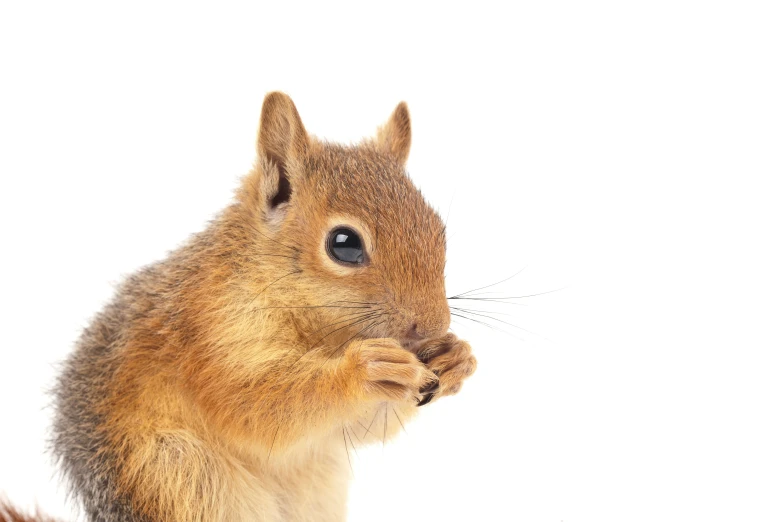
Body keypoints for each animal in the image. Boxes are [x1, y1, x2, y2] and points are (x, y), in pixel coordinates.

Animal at [1, 92, 478, 520]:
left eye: (438, 230)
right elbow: (254, 404)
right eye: (344, 244)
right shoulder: (210, 335)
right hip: (181, 478)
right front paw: (364, 369)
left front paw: (456, 356)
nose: (432, 325)